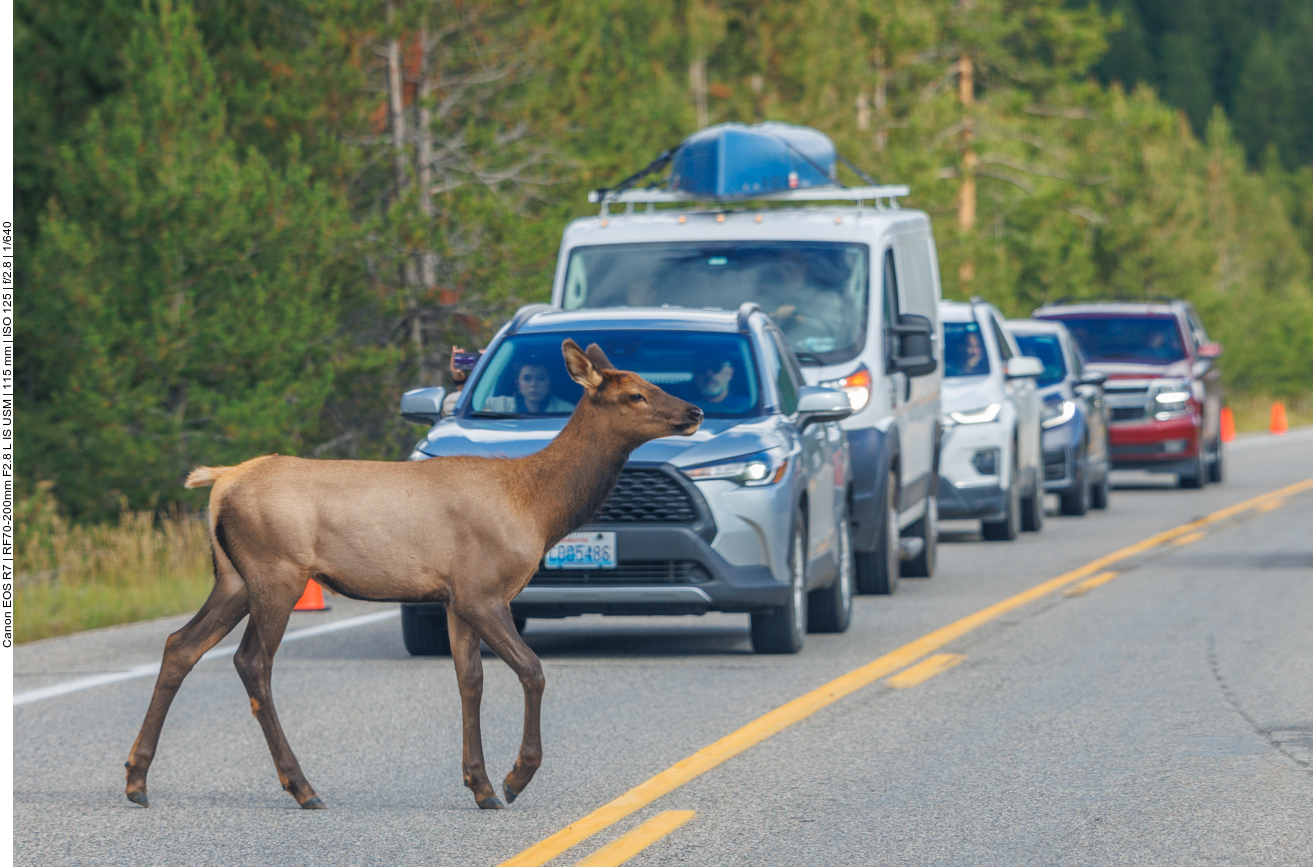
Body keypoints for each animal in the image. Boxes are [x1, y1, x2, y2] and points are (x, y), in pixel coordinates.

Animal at [124, 341, 703, 814]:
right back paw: (303, 787)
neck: (538, 507)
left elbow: (470, 681)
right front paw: (514, 779)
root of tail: (220, 482)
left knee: (180, 645)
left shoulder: (455, 597)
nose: (694, 411)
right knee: (252, 662)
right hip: (276, 573)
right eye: (635, 394)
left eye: (653, 384)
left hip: (232, 579)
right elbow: (532, 670)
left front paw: (480, 786)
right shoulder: (482, 590)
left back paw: (136, 779)